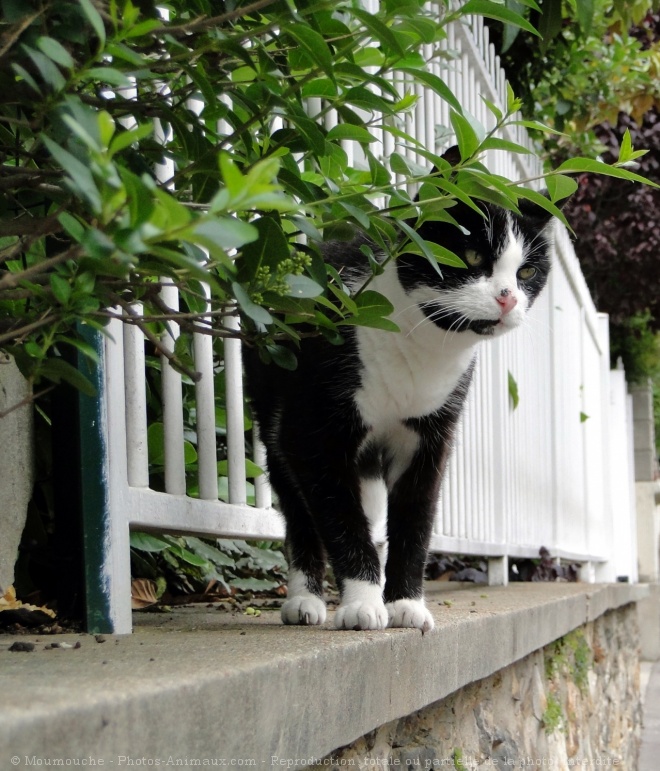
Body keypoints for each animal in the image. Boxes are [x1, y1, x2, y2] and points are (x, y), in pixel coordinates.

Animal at [242, 179, 556, 632]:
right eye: (473, 256)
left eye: (526, 272)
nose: (508, 299)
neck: (423, 345)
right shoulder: (313, 431)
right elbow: (340, 518)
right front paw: (361, 604)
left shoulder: (430, 437)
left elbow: (415, 518)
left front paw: (405, 603)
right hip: (272, 403)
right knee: (298, 509)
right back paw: (305, 600)